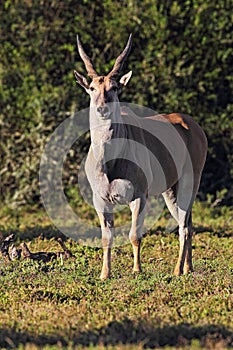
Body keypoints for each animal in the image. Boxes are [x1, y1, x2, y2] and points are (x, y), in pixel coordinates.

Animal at [73, 33, 207, 278]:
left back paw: (177, 270)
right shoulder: (101, 201)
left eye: (114, 87)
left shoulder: (139, 196)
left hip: (189, 182)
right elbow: (106, 238)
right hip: (170, 191)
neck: (109, 163)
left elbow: (134, 235)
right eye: (92, 88)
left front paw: (136, 270)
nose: (102, 108)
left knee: (183, 227)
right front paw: (104, 274)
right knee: (188, 224)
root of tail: (192, 125)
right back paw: (188, 268)